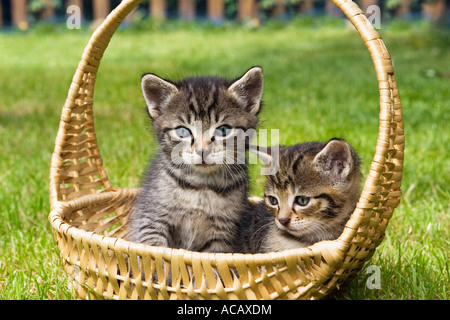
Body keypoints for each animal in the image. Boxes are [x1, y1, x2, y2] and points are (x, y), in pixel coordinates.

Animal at [127, 67, 264, 252]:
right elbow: (153, 249)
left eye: (223, 130)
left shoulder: (223, 233)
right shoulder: (151, 219)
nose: (202, 150)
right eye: (183, 131)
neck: (200, 186)